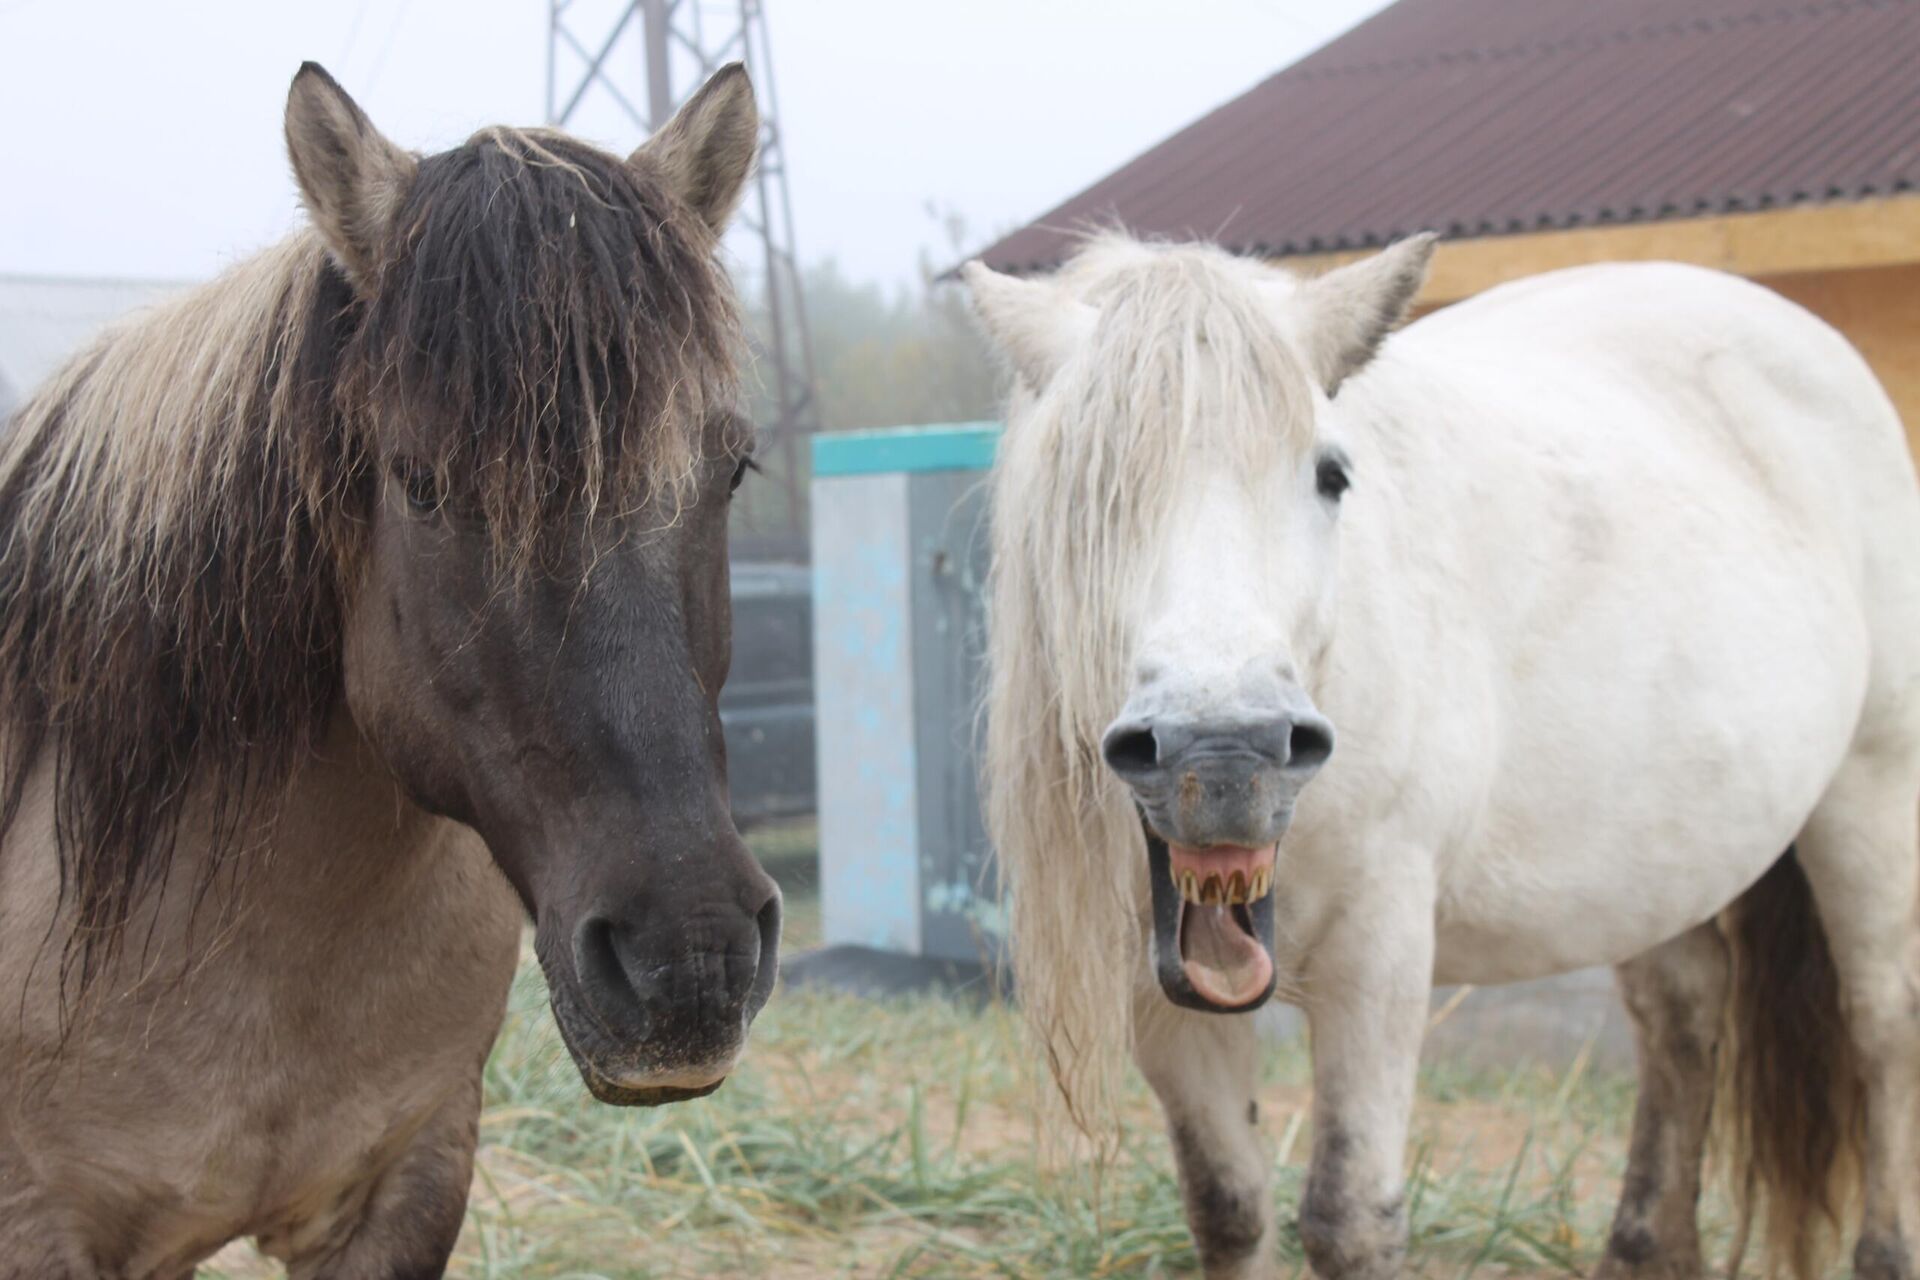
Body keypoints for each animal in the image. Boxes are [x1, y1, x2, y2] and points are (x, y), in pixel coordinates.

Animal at [967, 233, 1920, 1280]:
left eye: (1331, 475)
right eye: (1080, 485)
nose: (1223, 755)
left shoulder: (1380, 949)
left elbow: (1350, 1219)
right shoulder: (1160, 992)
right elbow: (1228, 1207)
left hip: (1870, 798)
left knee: (1882, 1026)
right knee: (1685, 1014)